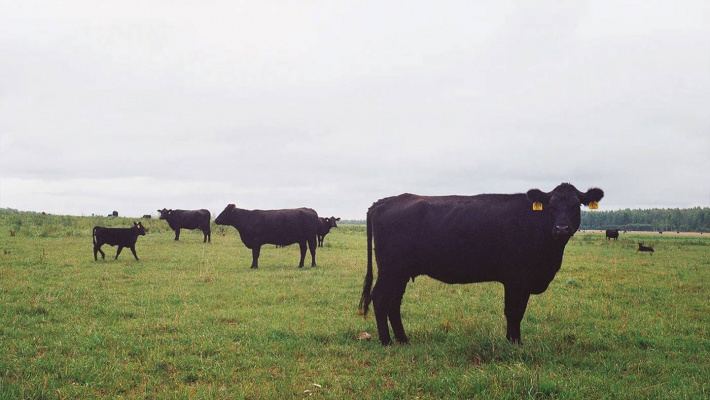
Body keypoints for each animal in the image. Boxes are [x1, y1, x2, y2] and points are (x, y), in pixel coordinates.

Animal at [358, 183, 604, 346]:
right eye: (551, 206)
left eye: (576, 205)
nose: (562, 228)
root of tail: (383, 202)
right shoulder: (516, 279)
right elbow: (514, 311)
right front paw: (514, 343)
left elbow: (517, 311)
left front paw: (512, 340)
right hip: (391, 270)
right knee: (380, 299)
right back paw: (387, 342)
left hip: (400, 273)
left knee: (393, 302)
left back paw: (403, 339)